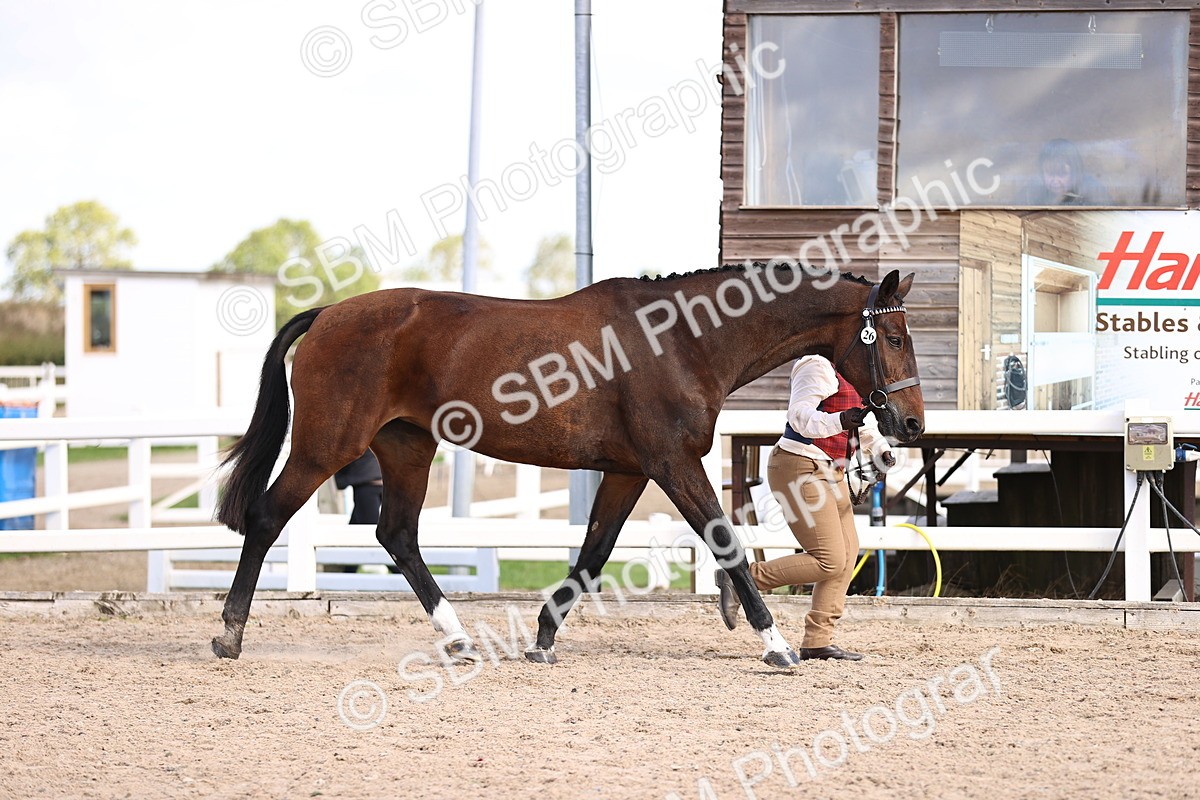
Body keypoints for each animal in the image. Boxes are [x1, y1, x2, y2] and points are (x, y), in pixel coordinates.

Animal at [212, 264, 924, 668]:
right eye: (892, 338)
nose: (910, 426)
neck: (683, 340)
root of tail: (328, 314)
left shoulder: (630, 471)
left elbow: (593, 555)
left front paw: (543, 638)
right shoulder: (674, 463)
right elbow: (726, 542)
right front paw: (775, 646)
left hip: (408, 446)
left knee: (398, 536)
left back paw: (459, 640)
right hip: (324, 447)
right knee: (269, 517)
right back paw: (229, 635)